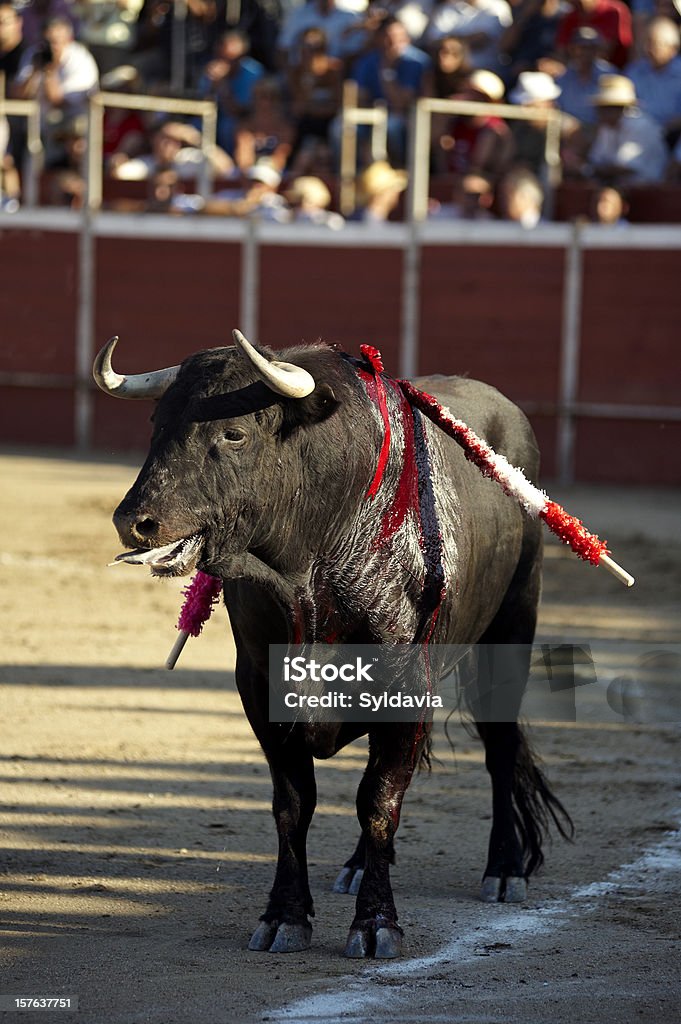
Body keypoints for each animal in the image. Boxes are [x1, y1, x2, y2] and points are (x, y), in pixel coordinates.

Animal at [95, 333, 569, 958]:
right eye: (158, 424)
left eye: (234, 433)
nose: (135, 522)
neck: (309, 567)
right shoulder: (259, 686)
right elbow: (294, 805)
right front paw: (284, 917)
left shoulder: (405, 684)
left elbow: (380, 801)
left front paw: (376, 925)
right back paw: (359, 865)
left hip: (511, 633)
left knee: (500, 748)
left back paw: (506, 869)